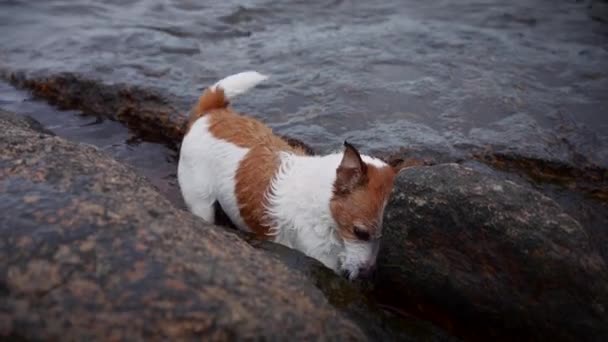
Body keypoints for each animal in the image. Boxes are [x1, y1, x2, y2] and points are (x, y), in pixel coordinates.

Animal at [177, 71, 400, 278]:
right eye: (360, 233)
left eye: (380, 235)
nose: (368, 273)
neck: (324, 207)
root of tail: (211, 113)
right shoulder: (319, 255)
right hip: (200, 202)